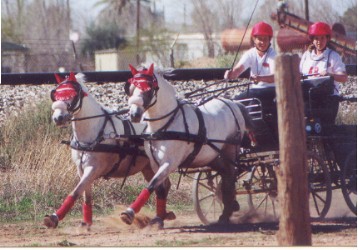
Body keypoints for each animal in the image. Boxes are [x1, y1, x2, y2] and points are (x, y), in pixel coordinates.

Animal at [45, 71, 174, 229]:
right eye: (55, 94)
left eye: (74, 95)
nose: (58, 118)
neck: (92, 133)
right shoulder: (81, 169)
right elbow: (86, 195)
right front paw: (86, 223)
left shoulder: (94, 168)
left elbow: (76, 191)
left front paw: (54, 217)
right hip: (149, 167)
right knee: (162, 187)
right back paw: (162, 216)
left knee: (161, 187)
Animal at [120, 63, 252, 226]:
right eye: (130, 88)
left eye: (148, 89)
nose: (134, 115)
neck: (165, 124)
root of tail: (233, 103)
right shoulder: (155, 163)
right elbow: (159, 188)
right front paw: (159, 218)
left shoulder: (170, 163)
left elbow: (151, 184)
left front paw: (129, 213)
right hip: (214, 156)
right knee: (226, 176)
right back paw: (229, 208)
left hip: (230, 150)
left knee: (230, 178)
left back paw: (226, 213)